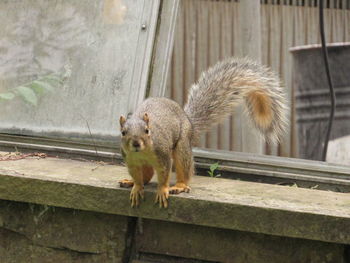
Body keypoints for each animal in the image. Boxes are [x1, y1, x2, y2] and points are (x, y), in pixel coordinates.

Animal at [119, 57, 288, 208]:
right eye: (123, 132)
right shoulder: (131, 160)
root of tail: (189, 121)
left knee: (184, 167)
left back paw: (180, 186)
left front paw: (162, 190)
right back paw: (130, 182)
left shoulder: (162, 154)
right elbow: (137, 176)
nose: (136, 143)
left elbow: (164, 174)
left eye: (147, 131)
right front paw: (136, 186)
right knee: (147, 175)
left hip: (182, 146)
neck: (142, 153)